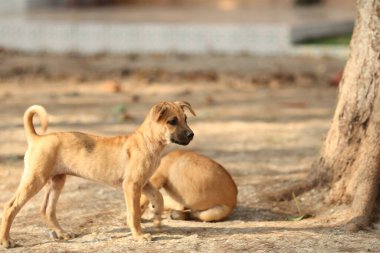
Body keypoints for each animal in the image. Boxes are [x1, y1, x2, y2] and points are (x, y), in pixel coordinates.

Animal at [0, 100, 196, 248]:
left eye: (186, 118)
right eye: (172, 121)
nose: (191, 135)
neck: (148, 141)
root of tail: (37, 138)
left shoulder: (144, 182)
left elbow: (159, 198)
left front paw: (157, 218)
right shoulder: (131, 185)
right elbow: (133, 214)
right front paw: (139, 236)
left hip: (56, 181)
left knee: (47, 210)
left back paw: (62, 234)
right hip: (36, 179)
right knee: (10, 206)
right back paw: (7, 241)